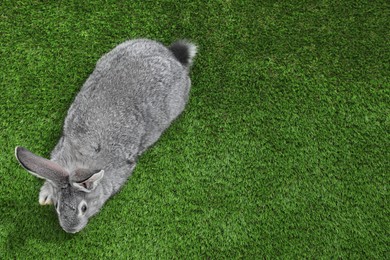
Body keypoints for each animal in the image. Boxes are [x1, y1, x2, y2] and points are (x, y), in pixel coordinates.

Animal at [14, 39, 197, 234]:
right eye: (57, 206)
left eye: (84, 208)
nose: (70, 230)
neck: (81, 161)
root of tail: (171, 56)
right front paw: (45, 196)